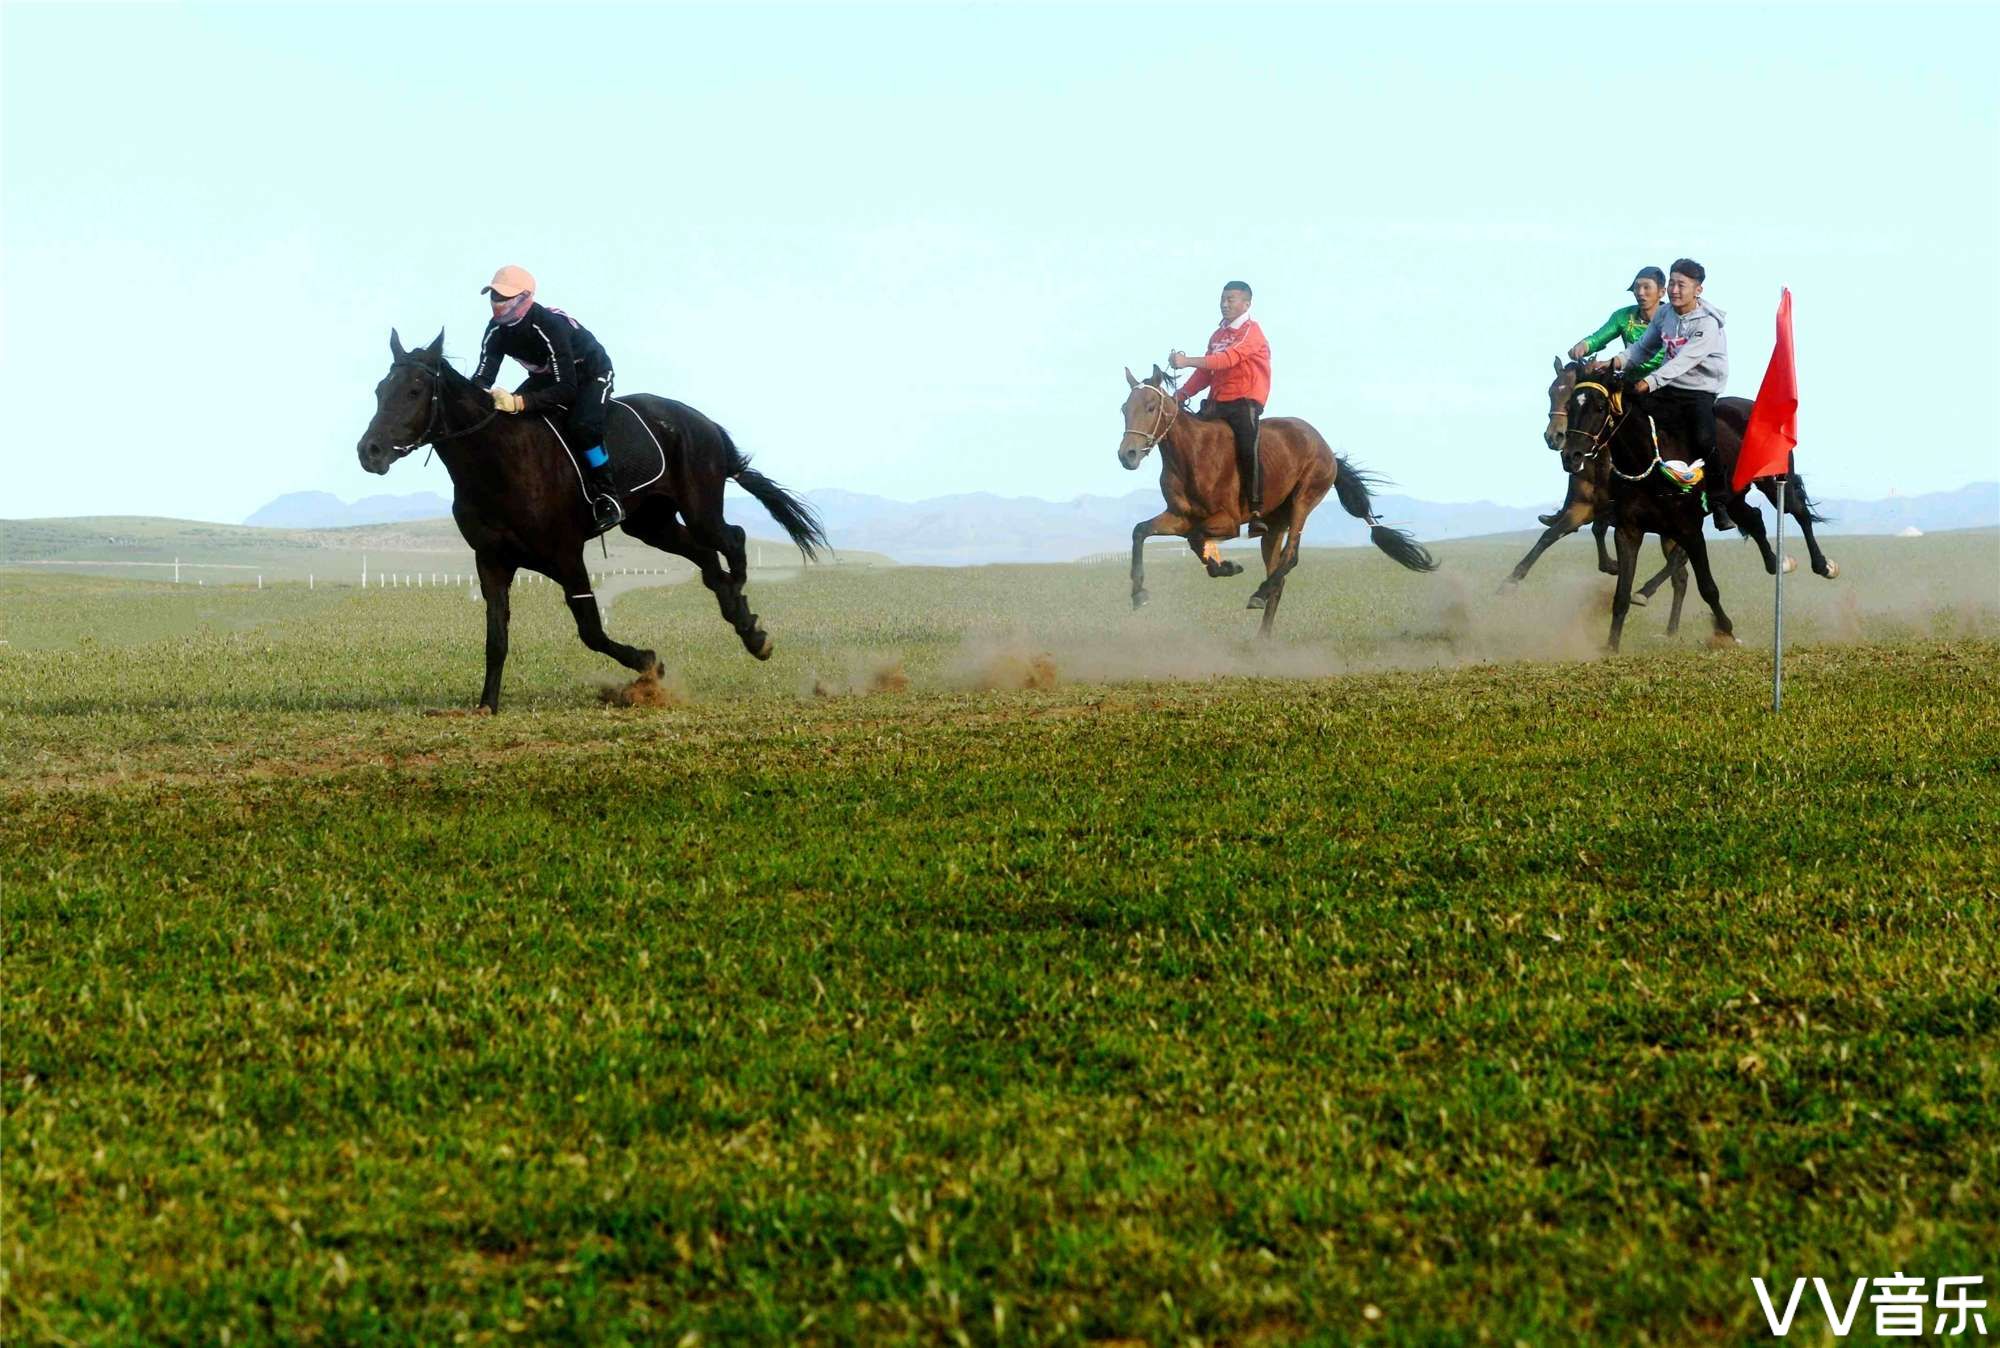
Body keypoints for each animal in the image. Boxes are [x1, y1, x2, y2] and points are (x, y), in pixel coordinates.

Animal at [356, 330, 824, 708]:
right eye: (380, 390)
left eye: (415, 390)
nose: (369, 451)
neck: (499, 459)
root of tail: (701, 421)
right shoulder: (491, 561)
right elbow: (496, 637)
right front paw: (487, 704)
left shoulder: (566, 555)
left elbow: (591, 630)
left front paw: (648, 664)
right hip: (651, 524)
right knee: (709, 562)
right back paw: (746, 624)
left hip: (699, 508)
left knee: (733, 539)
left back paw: (748, 618)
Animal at [1120, 362, 1432, 636]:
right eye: (1124, 408)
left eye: (1150, 406)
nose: (1127, 455)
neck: (1192, 454)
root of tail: (1327, 449)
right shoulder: (1180, 517)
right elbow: (1141, 531)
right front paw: (1138, 593)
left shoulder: (1227, 522)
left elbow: (1196, 539)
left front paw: (1227, 567)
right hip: (1273, 527)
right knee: (1278, 577)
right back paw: (1262, 635)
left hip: (1303, 501)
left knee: (1290, 557)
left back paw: (1258, 594)